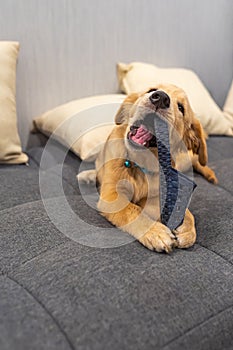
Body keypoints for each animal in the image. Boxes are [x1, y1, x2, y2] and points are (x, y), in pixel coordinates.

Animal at [79, 83, 217, 253]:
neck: (140, 164)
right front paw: (155, 232)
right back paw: (88, 176)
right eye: (152, 90)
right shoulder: (113, 196)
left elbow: (186, 211)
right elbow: (132, 210)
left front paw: (187, 227)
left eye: (181, 108)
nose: (161, 98)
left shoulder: (154, 198)